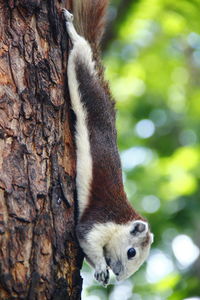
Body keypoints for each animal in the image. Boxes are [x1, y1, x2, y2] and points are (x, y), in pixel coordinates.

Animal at [62, 0, 153, 286]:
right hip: (83, 74)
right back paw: (71, 28)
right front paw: (102, 268)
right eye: (132, 252)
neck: (121, 222)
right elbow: (86, 237)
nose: (120, 276)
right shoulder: (98, 222)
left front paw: (101, 271)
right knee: (81, 52)